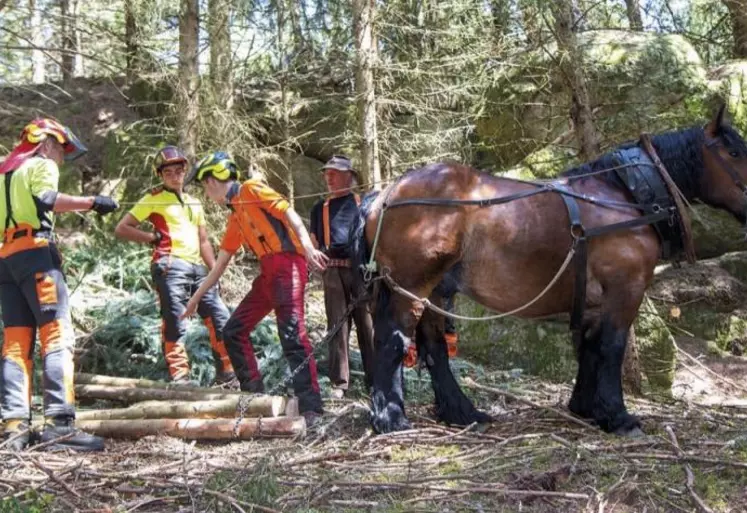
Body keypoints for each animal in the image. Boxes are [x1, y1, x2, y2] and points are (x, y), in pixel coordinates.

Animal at [354, 106, 747, 434]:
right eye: (735, 152)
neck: (623, 195)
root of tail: (384, 195)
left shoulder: (593, 299)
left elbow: (589, 348)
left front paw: (587, 408)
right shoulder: (626, 288)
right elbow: (612, 347)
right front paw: (618, 416)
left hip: (435, 289)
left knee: (434, 346)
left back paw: (463, 413)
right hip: (412, 286)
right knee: (393, 339)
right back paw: (392, 419)